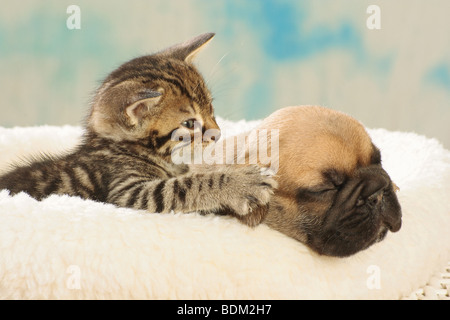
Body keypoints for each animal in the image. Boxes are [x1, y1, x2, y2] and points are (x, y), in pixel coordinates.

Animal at [0, 33, 276, 225]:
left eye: (211, 108)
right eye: (189, 124)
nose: (217, 134)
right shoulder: (125, 192)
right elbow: (183, 186)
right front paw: (241, 183)